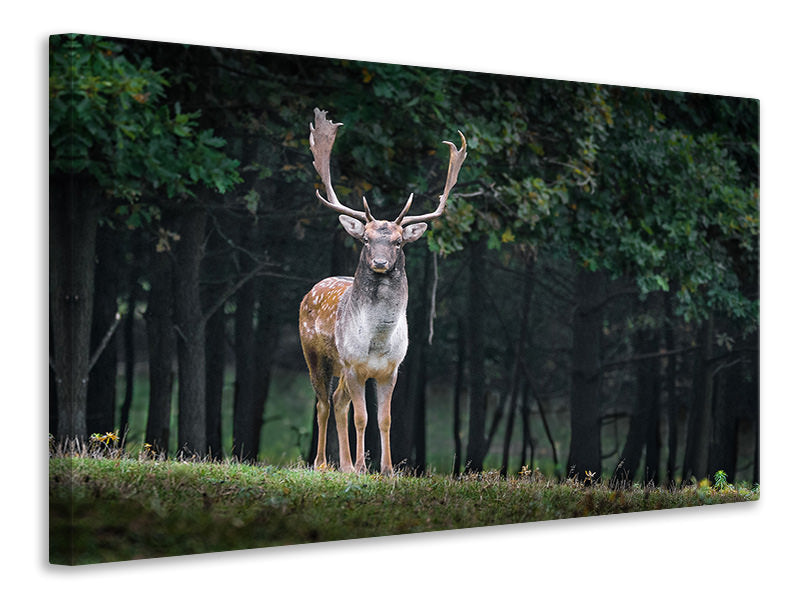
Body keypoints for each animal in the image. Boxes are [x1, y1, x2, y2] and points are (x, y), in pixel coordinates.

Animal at [299, 108, 467, 476]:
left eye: (398, 242)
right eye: (365, 239)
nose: (379, 262)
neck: (376, 342)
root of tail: (311, 290)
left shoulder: (391, 370)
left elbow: (385, 419)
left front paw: (387, 469)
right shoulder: (353, 365)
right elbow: (362, 417)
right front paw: (365, 466)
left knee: (337, 402)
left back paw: (345, 465)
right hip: (316, 355)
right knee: (322, 403)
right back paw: (323, 463)